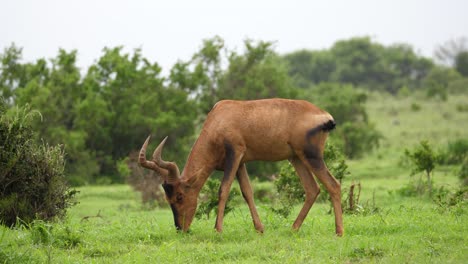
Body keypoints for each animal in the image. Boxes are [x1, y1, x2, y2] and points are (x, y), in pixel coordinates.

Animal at [139, 98, 344, 236]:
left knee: (333, 185)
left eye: (180, 196)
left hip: (311, 156)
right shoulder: (240, 163)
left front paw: (218, 229)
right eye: (168, 198)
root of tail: (325, 117)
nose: (181, 229)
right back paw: (293, 228)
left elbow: (223, 190)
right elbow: (247, 192)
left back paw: (339, 232)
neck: (220, 117)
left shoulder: (234, 154)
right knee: (312, 189)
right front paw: (260, 229)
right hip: (296, 158)